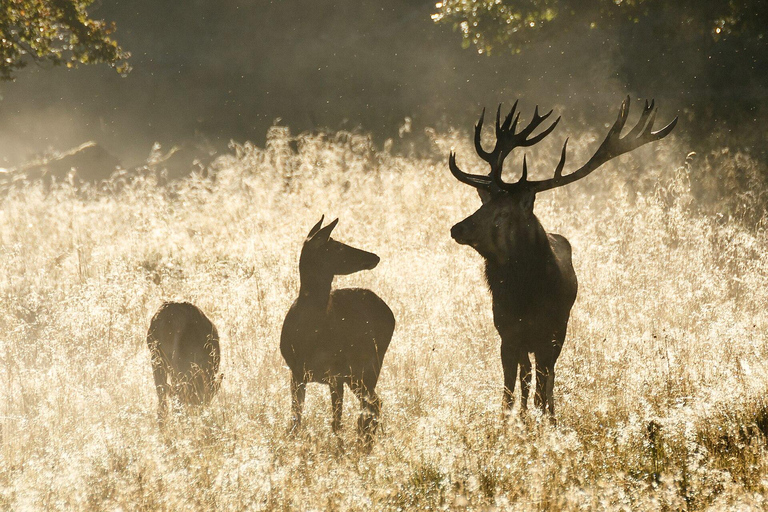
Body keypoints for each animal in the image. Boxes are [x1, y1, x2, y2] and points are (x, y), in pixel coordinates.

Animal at [280, 216, 395, 447]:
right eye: (338, 247)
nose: (374, 256)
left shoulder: (336, 374)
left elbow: (336, 423)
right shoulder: (296, 372)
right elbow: (296, 419)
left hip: (369, 365)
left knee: (372, 404)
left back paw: (364, 443)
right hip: (359, 372)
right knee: (372, 404)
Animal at [448, 96, 677, 421]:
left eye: (502, 213)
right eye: (484, 204)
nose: (457, 228)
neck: (526, 297)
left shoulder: (553, 333)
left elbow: (544, 386)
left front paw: (547, 422)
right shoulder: (507, 332)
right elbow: (509, 390)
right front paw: (510, 423)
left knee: (547, 379)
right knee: (526, 376)